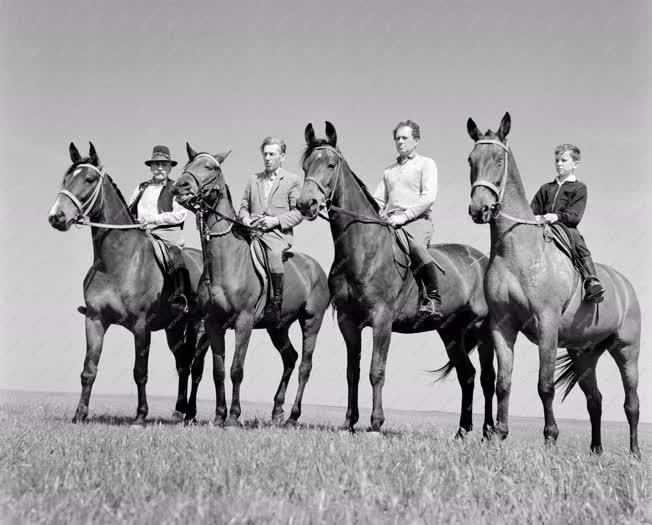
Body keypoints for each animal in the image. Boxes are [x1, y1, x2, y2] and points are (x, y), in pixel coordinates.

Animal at [47, 143, 205, 426]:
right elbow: (89, 369)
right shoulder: (95, 319)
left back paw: (191, 414)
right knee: (183, 364)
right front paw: (80, 414)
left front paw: (140, 416)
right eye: (66, 179)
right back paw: (180, 410)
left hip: (198, 327)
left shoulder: (141, 327)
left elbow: (140, 372)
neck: (118, 262)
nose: (57, 216)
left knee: (195, 367)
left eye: (89, 179)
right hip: (174, 329)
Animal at [172, 142, 332, 426]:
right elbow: (218, 371)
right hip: (277, 327)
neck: (225, 261)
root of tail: (316, 268)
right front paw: (219, 415)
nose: (180, 186)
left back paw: (293, 416)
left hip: (311, 321)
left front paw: (233, 416)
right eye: (187, 165)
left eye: (210, 167)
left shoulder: (243, 323)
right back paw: (277, 410)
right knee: (290, 358)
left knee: (305, 365)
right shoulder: (212, 324)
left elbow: (236, 369)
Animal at [296, 122, 494, 434]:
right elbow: (353, 372)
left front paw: (376, 423)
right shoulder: (348, 322)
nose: (306, 204)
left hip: (483, 329)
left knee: (488, 379)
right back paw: (462, 432)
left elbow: (376, 371)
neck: (363, 250)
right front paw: (349, 422)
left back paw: (489, 432)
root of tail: (483, 260)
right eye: (305, 165)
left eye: (330, 164)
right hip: (450, 332)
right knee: (468, 375)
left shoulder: (381, 320)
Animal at [466, 113, 640, 454]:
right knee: (595, 400)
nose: (479, 210)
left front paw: (550, 437)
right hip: (584, 354)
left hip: (627, 351)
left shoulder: (546, 324)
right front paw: (500, 433)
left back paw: (635, 452)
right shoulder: (502, 326)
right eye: (471, 160)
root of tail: (627, 287)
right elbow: (502, 382)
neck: (518, 252)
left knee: (631, 404)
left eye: (498, 159)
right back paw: (596, 450)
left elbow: (544, 385)